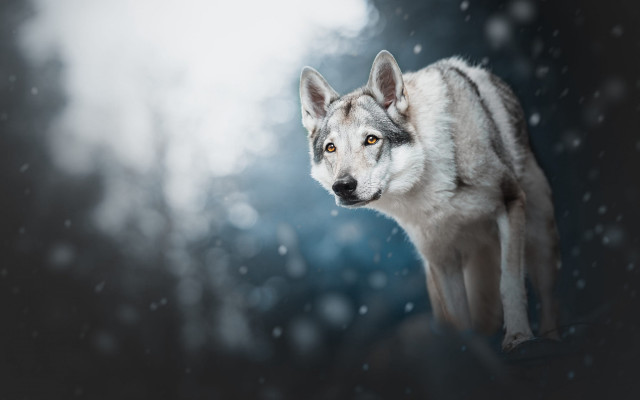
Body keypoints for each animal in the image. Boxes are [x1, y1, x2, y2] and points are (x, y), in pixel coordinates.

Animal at [299, 51, 560, 351]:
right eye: (331, 148)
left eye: (371, 140)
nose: (342, 186)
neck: (428, 185)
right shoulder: (440, 257)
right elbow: (459, 319)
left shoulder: (510, 201)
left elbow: (510, 283)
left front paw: (518, 337)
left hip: (540, 240)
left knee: (547, 297)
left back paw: (550, 337)